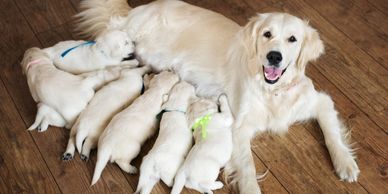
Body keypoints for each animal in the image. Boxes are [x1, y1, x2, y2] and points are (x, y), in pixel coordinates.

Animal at [76, 0, 360, 192]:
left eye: (293, 39)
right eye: (267, 34)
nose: (274, 56)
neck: (272, 90)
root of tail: (140, 9)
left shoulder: (318, 100)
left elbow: (332, 131)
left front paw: (345, 164)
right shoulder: (239, 127)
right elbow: (248, 169)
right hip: (132, 42)